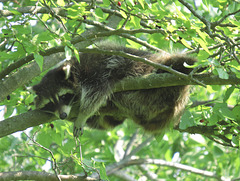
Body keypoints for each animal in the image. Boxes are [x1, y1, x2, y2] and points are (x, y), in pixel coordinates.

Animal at [32, 42, 198, 137]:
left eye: (63, 97)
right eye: (50, 103)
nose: (62, 115)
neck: (75, 70)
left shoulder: (96, 71)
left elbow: (96, 93)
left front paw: (82, 115)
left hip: (156, 69)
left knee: (179, 62)